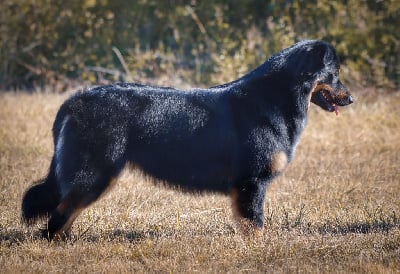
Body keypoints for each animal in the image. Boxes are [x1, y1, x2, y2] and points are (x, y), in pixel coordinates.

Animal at [21, 39, 354, 239]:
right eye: (335, 74)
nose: (352, 98)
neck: (274, 98)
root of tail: (74, 101)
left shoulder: (247, 186)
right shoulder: (253, 182)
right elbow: (255, 224)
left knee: (63, 212)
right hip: (96, 175)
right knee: (59, 215)